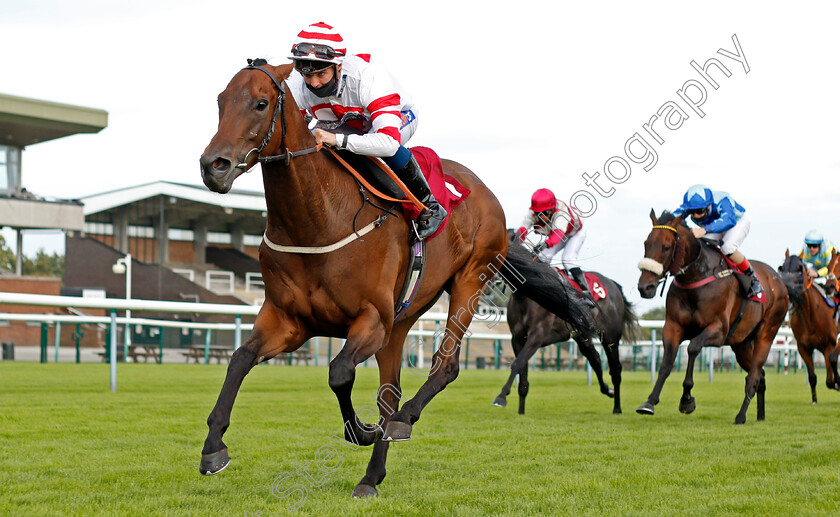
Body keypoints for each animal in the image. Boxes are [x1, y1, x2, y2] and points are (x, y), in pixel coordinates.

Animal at [197, 59, 592, 496]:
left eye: (261, 103)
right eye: (220, 101)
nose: (213, 166)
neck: (318, 220)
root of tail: (486, 193)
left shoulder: (371, 319)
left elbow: (339, 372)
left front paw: (362, 431)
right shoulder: (288, 322)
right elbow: (240, 359)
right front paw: (213, 448)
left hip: (469, 279)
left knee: (444, 367)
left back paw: (402, 422)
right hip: (402, 320)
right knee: (391, 391)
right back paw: (372, 476)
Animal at [492, 232, 636, 414]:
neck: (526, 295)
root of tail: (613, 284)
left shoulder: (537, 335)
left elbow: (517, 364)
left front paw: (501, 397)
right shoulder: (517, 338)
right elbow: (522, 373)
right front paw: (521, 412)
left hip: (610, 336)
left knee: (615, 369)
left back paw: (617, 407)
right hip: (582, 336)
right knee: (595, 359)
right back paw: (608, 390)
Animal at [636, 210, 788, 424]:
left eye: (666, 247)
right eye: (646, 243)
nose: (645, 287)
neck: (696, 277)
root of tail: (778, 281)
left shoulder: (718, 331)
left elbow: (692, 348)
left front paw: (686, 400)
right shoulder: (673, 327)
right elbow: (666, 363)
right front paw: (649, 402)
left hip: (766, 334)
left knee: (754, 376)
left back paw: (741, 416)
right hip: (741, 344)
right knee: (761, 376)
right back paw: (760, 416)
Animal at [776, 250, 840, 404]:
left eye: (799, 269)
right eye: (782, 267)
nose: (787, 286)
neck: (810, 314)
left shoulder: (828, 345)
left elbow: (829, 380)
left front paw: (837, 383)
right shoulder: (803, 348)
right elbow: (812, 377)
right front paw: (814, 400)